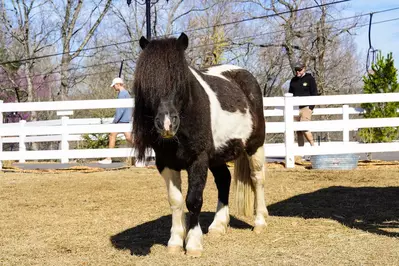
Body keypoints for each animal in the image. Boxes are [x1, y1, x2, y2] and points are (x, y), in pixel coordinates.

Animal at [133, 32, 268, 256]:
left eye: (181, 81)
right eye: (148, 83)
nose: (167, 123)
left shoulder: (198, 160)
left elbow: (193, 200)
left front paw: (194, 243)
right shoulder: (166, 163)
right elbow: (176, 200)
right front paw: (175, 241)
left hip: (254, 146)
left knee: (257, 179)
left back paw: (260, 222)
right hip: (217, 155)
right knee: (224, 179)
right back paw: (218, 226)